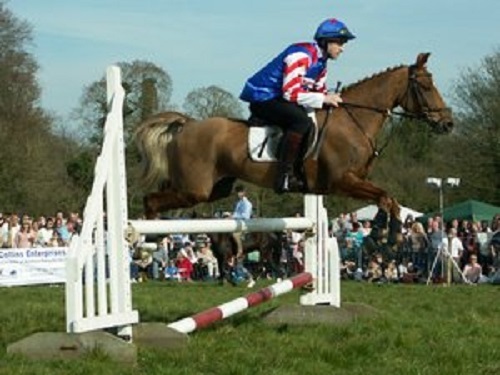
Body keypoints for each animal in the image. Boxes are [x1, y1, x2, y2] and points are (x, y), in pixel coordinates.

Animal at [133, 53, 454, 244]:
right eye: (426, 87)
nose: (448, 123)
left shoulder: (353, 181)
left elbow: (390, 200)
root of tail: (187, 124)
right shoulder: (342, 181)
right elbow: (386, 197)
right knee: (151, 200)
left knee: (161, 196)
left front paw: (386, 233)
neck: (354, 120)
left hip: (214, 188)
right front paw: (384, 235)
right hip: (194, 189)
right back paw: (147, 238)